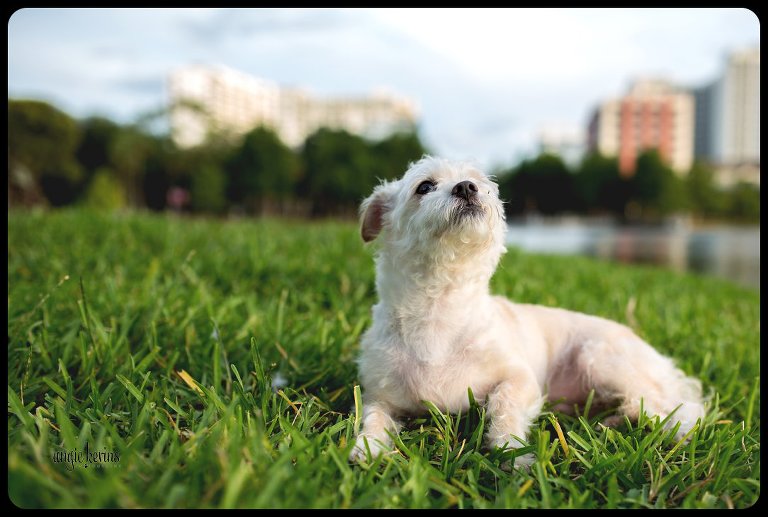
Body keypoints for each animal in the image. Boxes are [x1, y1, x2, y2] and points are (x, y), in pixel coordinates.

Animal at [352, 155, 704, 466]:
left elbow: (503, 403)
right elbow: (373, 418)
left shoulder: (521, 378)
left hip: (600, 357)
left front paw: (511, 450)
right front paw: (367, 447)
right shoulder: (379, 395)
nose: (467, 187)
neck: (439, 311)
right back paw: (614, 422)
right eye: (424, 186)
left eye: (480, 182)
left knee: (675, 412)